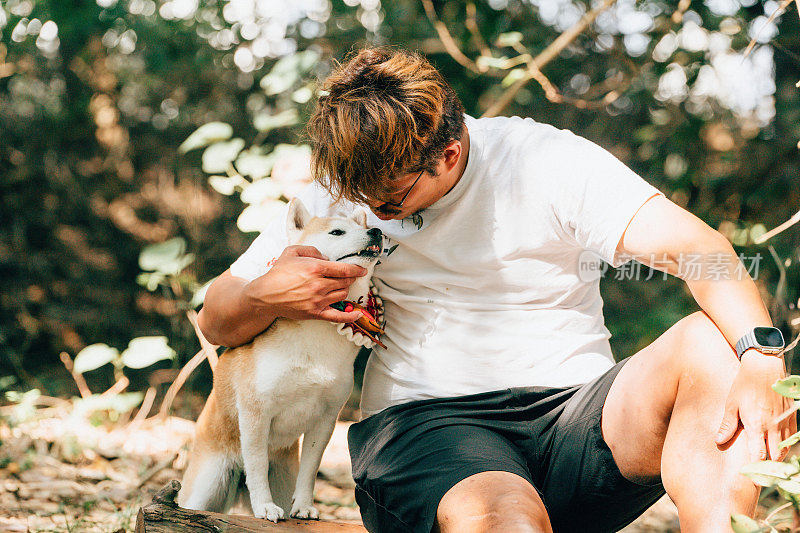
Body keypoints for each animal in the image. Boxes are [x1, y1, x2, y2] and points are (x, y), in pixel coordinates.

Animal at [179, 197, 384, 520]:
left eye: (363, 226)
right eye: (337, 232)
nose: (376, 231)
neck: (315, 338)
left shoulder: (325, 419)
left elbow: (310, 469)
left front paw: (305, 506)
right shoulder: (255, 414)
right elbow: (257, 466)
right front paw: (264, 506)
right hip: (205, 486)